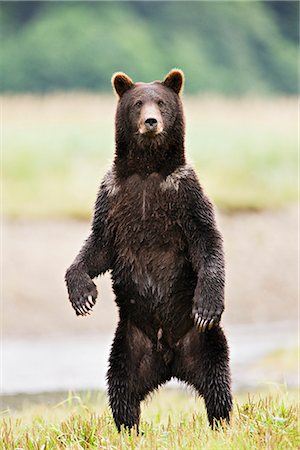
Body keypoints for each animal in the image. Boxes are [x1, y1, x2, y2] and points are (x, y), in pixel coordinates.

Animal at [65, 68, 233, 430]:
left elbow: (207, 242)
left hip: (202, 341)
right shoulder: (113, 197)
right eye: (138, 103)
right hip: (130, 344)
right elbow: (97, 246)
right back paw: (129, 428)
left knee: (217, 380)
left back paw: (221, 423)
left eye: (161, 102)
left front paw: (207, 304)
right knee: (122, 388)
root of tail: (170, 360)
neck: (147, 170)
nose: (151, 122)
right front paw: (82, 295)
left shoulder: (185, 194)